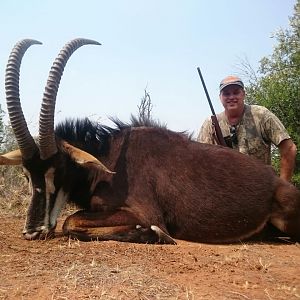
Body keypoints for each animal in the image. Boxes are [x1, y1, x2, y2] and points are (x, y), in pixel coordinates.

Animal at [0, 38, 300, 244]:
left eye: (60, 169)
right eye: (26, 174)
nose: (32, 230)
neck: (110, 161)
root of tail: (276, 180)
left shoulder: (145, 213)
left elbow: (71, 222)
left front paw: (152, 234)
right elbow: (71, 222)